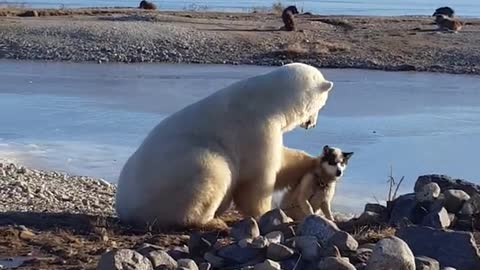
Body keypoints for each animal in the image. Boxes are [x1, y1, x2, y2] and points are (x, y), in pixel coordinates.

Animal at [116, 62, 334, 228]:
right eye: (322, 104)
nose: (312, 124)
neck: (269, 99)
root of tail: (124, 207)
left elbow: (283, 160)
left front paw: (314, 161)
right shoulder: (256, 128)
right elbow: (257, 178)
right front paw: (268, 213)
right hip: (175, 173)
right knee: (213, 171)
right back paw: (211, 221)